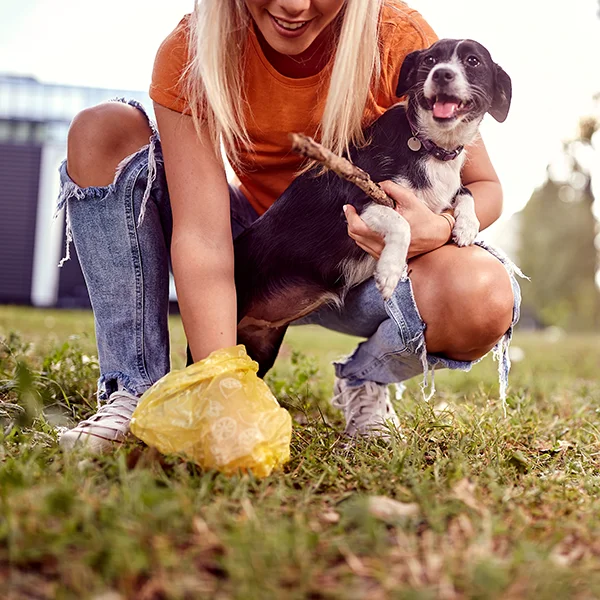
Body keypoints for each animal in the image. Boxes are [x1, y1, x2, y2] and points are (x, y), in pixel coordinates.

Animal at [230, 37, 510, 376]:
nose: (442, 74)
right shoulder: (359, 201)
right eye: (430, 60)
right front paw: (389, 271)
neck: (431, 147)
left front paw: (467, 226)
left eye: (472, 61)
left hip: (261, 345)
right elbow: (401, 224)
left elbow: (465, 191)